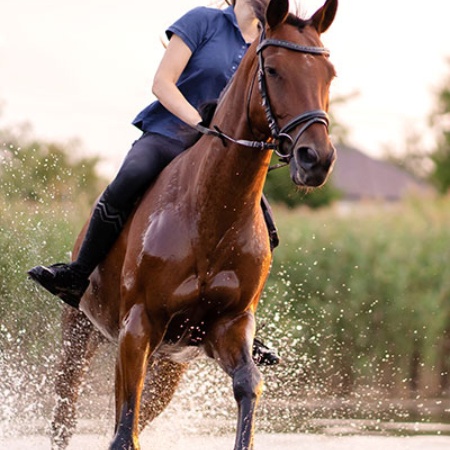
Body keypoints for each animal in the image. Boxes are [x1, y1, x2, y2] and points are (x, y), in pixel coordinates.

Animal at [51, 0, 336, 448]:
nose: (316, 160)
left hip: (170, 366)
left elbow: (248, 385)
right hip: (80, 332)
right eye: (273, 70)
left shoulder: (228, 326)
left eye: (329, 74)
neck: (212, 214)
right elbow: (123, 433)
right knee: (66, 411)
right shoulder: (138, 325)